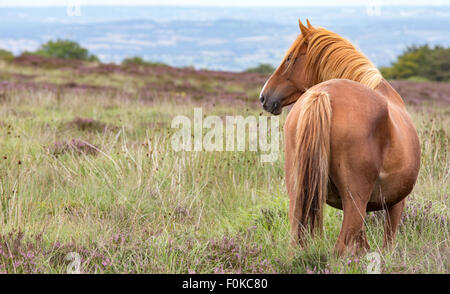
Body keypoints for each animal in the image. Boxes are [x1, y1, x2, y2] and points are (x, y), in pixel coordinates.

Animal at [260, 20, 422, 255]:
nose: (264, 97)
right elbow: (387, 243)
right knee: (340, 248)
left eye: (290, 58)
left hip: (298, 197)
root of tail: (323, 94)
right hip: (355, 202)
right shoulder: (396, 203)